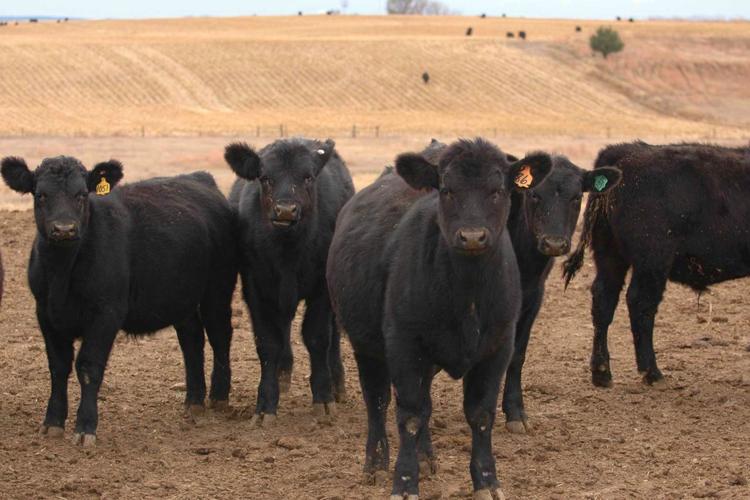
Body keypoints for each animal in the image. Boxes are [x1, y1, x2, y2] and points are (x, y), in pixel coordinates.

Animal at [0, 156, 238, 446]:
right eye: (41, 195)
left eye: (82, 194)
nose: (64, 229)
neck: (62, 274)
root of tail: (198, 177)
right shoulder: (45, 314)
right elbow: (58, 366)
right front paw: (52, 423)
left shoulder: (106, 313)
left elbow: (88, 366)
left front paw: (85, 428)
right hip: (182, 297)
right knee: (191, 340)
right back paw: (193, 401)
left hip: (218, 288)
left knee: (219, 334)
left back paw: (219, 397)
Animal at [224, 137, 354, 427]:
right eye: (264, 177)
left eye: (308, 177)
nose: (285, 210)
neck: (288, 252)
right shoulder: (255, 288)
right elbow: (268, 343)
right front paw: (265, 405)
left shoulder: (321, 290)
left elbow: (317, 337)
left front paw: (323, 399)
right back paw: (283, 375)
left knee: (333, 336)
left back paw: (337, 384)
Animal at [327, 138, 552, 498]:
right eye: (447, 189)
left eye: (498, 190)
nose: (472, 236)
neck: (467, 296)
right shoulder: (404, 345)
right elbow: (409, 415)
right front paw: (405, 482)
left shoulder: (498, 347)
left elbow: (480, 415)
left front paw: (487, 481)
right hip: (366, 347)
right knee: (377, 401)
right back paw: (376, 463)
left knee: (426, 403)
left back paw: (425, 457)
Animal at [563, 141, 750, 388]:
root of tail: (625, 151)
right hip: (651, 262)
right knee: (640, 304)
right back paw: (651, 372)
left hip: (610, 256)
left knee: (604, 301)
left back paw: (601, 373)